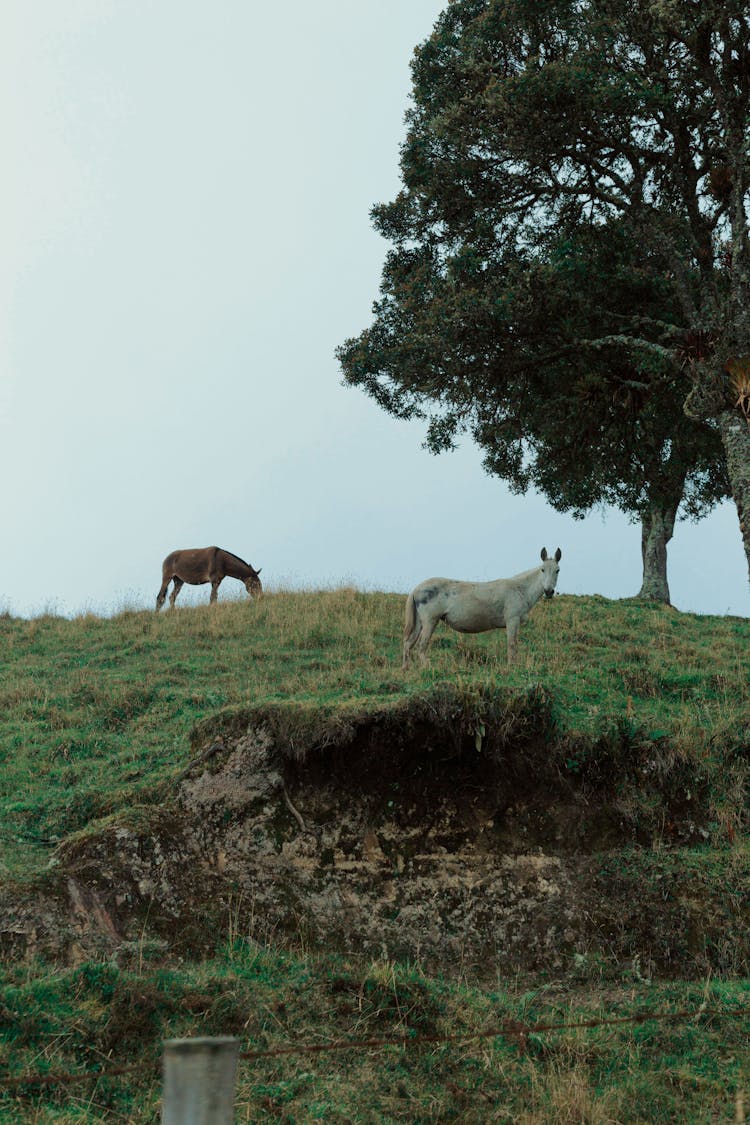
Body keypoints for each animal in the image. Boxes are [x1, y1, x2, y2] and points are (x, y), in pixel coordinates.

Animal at [402, 546, 559, 666]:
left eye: (557, 570)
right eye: (542, 569)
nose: (548, 591)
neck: (520, 589)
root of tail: (417, 589)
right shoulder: (512, 620)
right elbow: (512, 644)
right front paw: (512, 667)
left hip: (420, 622)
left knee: (408, 644)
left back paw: (406, 669)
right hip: (430, 621)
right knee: (421, 646)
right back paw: (427, 667)